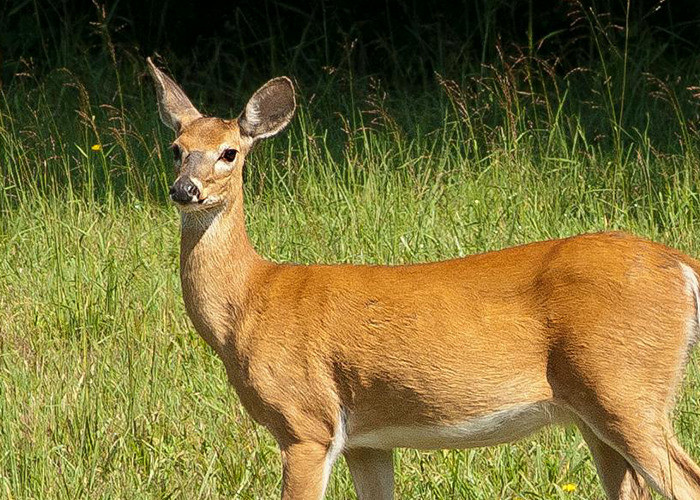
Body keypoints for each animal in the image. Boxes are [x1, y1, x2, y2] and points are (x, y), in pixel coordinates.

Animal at [146, 57, 700, 499]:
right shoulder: (366, 441)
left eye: (229, 152)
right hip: (594, 409)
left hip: (624, 387)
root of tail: (681, 265)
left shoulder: (305, 421)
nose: (185, 189)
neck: (250, 302)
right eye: (176, 147)